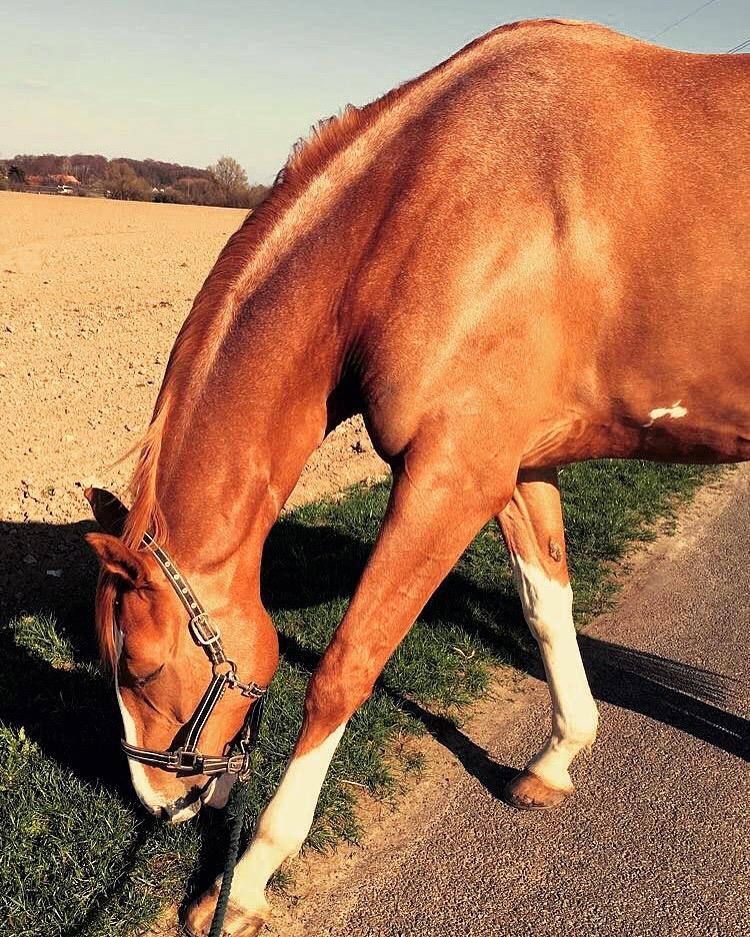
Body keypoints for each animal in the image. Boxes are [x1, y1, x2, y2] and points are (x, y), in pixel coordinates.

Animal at [85, 22, 748, 936]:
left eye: (143, 669)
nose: (161, 803)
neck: (437, 199)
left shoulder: (448, 477)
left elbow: (345, 667)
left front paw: (249, 876)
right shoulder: (511, 463)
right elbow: (547, 608)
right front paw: (557, 758)